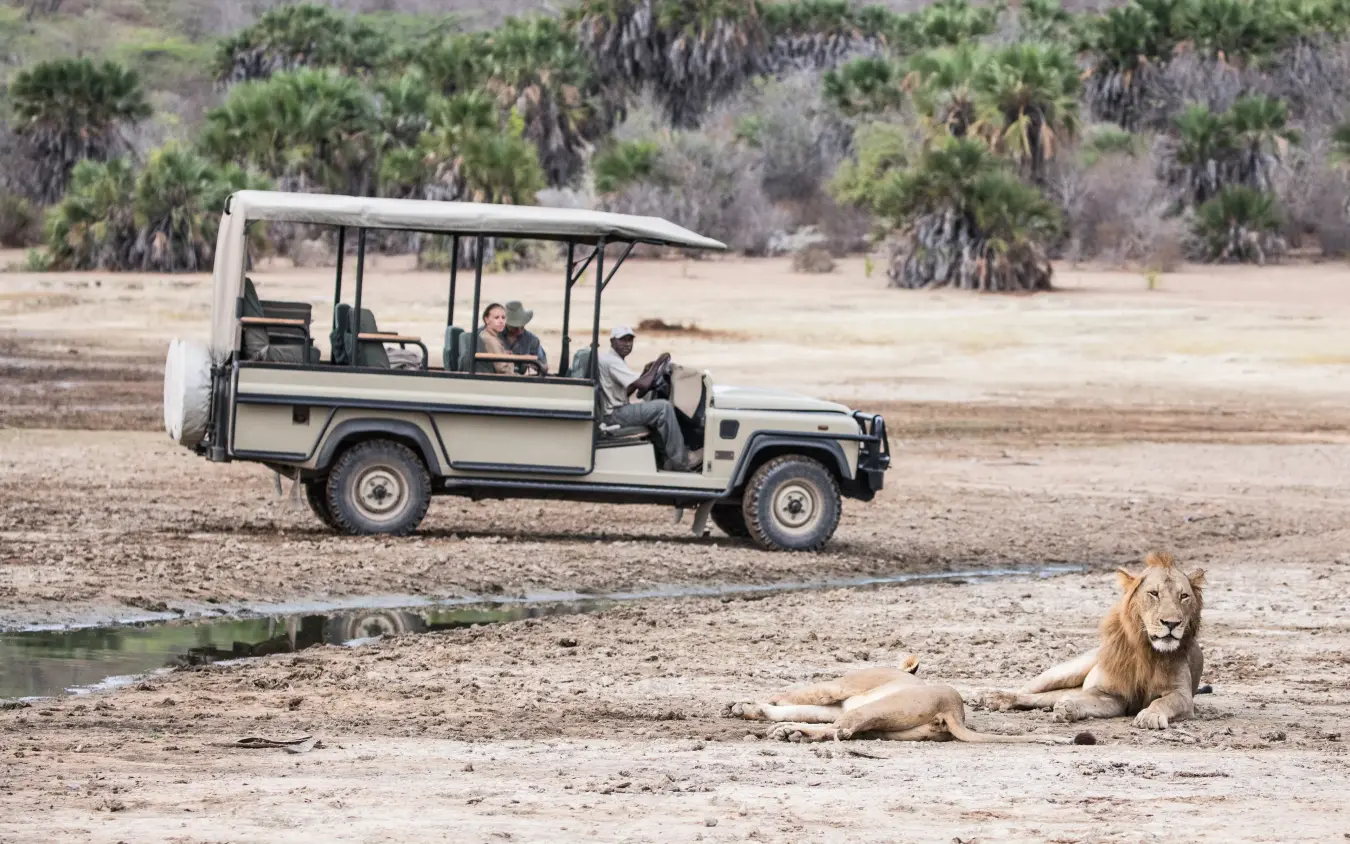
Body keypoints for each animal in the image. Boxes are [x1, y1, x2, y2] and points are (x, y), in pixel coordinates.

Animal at [724, 652, 1069, 744]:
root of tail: (954, 709)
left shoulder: (840, 688)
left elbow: (794, 695)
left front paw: (745, 704)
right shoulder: (835, 703)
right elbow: (798, 707)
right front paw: (744, 707)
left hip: (877, 708)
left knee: (841, 730)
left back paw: (788, 733)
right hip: (888, 726)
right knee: (844, 730)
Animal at [981, 551, 1205, 730]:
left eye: (1184, 596)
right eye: (1154, 593)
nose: (1171, 623)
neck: (1146, 650)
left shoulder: (1181, 695)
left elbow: (1164, 702)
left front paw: (1150, 715)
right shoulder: (1111, 693)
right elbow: (1087, 700)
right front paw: (1068, 708)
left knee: (1045, 697)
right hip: (1066, 671)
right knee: (1028, 691)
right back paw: (990, 696)